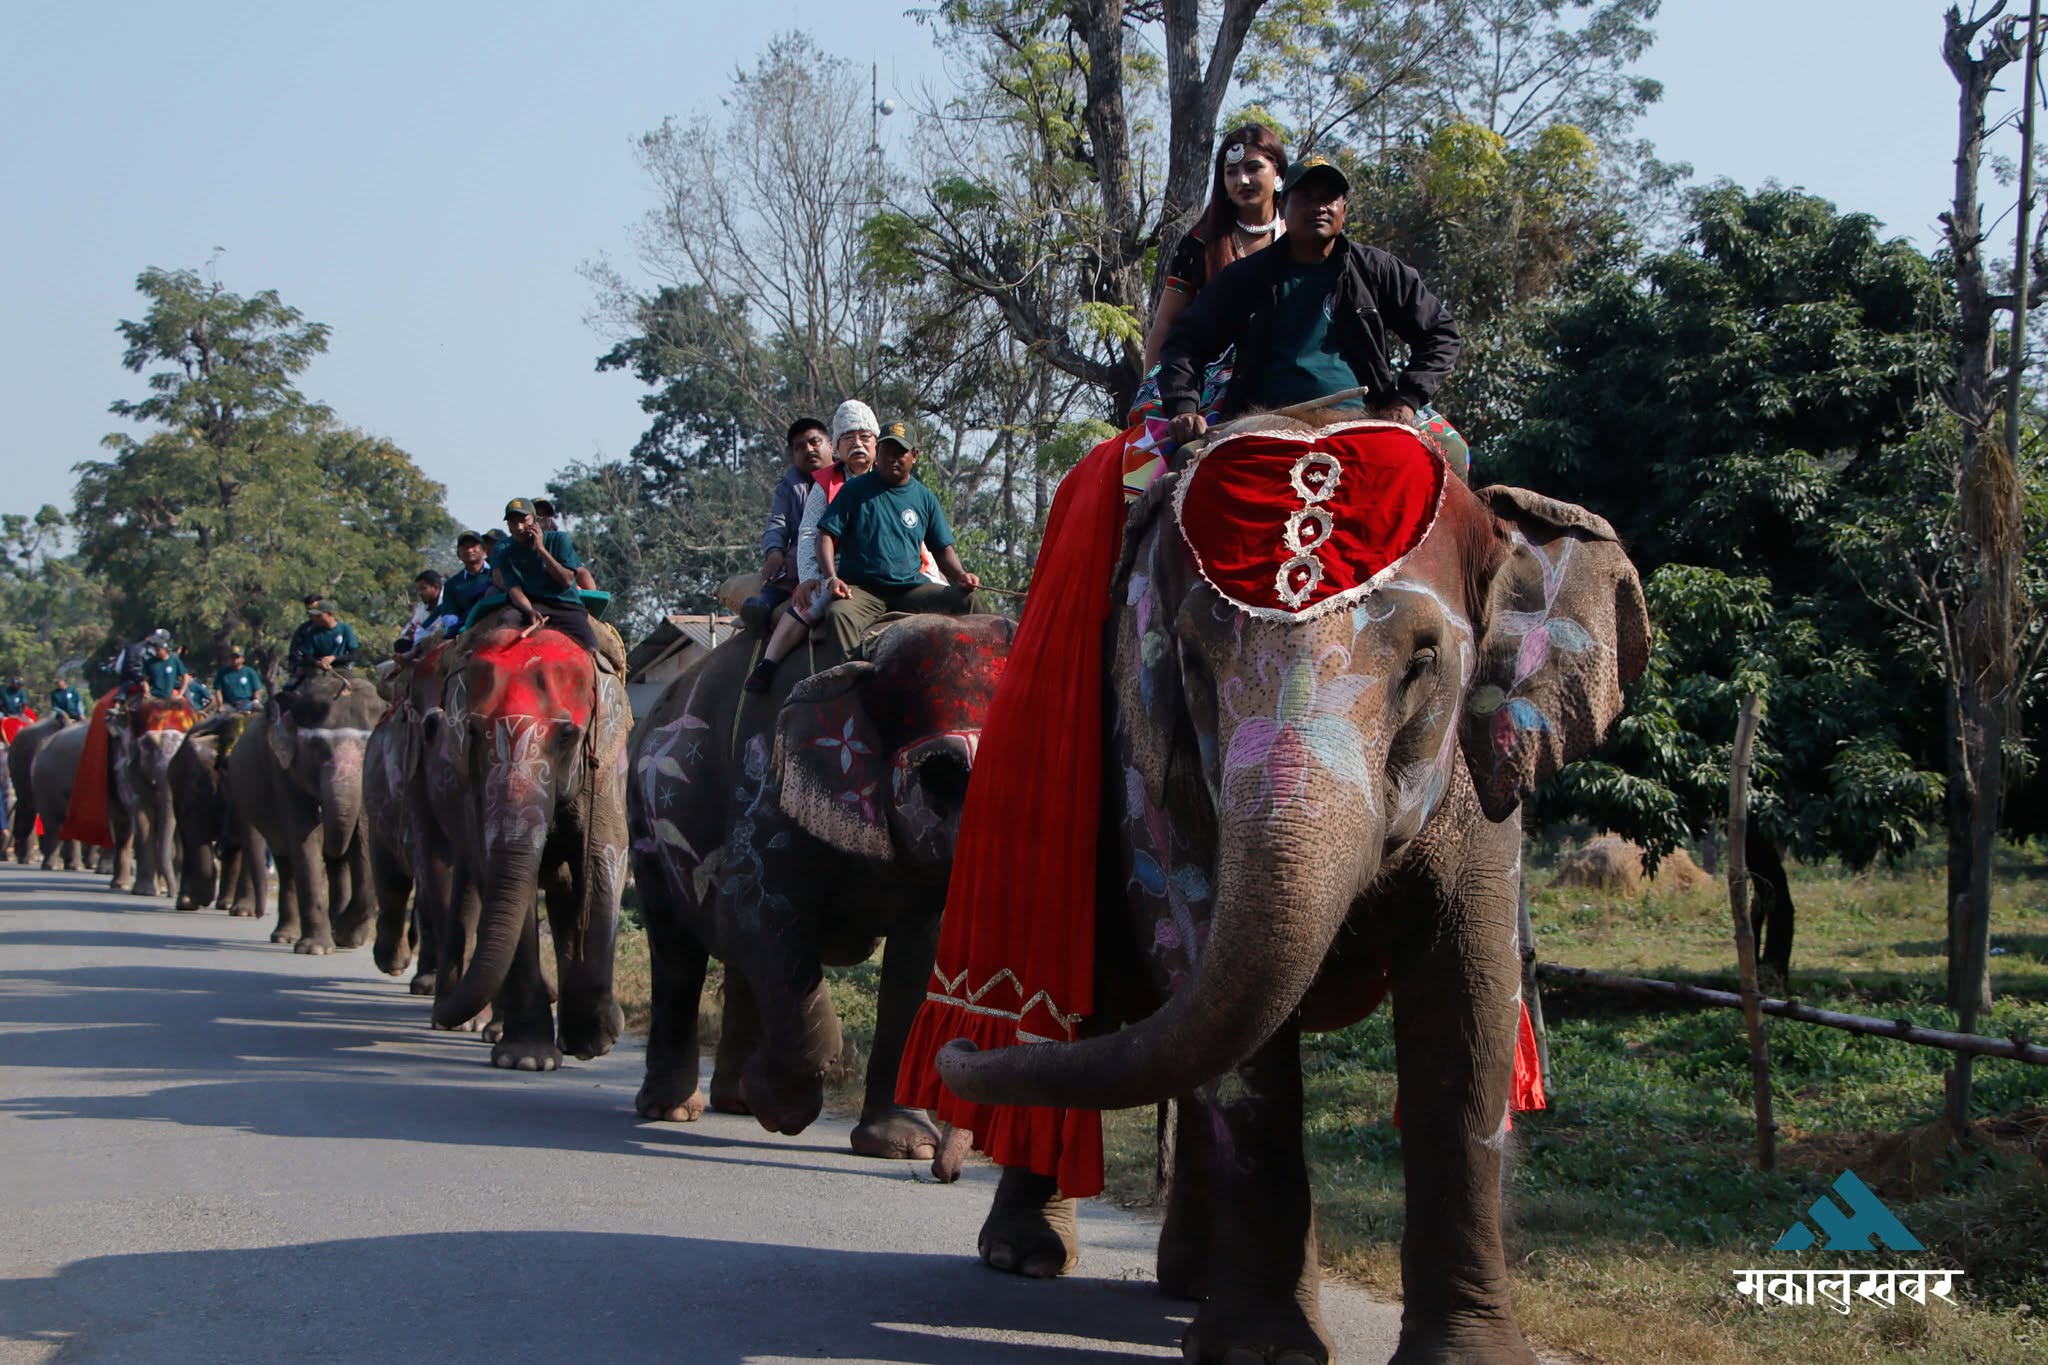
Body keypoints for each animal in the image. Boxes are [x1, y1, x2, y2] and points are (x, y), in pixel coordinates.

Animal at [168, 713, 263, 915]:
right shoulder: (196, 776)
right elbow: (196, 829)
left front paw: (243, 912)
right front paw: (199, 898)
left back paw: (226, 904)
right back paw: (187, 902)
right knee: (187, 841)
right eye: (227, 765)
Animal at [226, 673, 385, 953]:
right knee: (286, 860)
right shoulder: (283, 770)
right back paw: (286, 936)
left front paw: (346, 936)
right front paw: (317, 948)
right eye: (318, 748)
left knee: (334, 863)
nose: (257, 914)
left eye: (369, 750)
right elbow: (305, 837)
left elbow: (364, 842)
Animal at [425, 619, 632, 1072]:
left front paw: (597, 1037)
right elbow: (500, 874)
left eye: (568, 736)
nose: (432, 722)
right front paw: (528, 1061)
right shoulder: (474, 789)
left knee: (566, 887)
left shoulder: (606, 770)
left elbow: (601, 861)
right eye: (472, 732)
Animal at [628, 612, 1014, 1156]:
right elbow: (753, 912)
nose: (946, 1167)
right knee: (678, 947)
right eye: (943, 773)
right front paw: (782, 1111)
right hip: (645, 816)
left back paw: (737, 1102)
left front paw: (905, 1146)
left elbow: (923, 952)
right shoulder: (770, 780)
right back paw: (676, 1110)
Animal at [929, 416, 1649, 1365]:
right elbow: (1215, 978)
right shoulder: (1150, 761)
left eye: (1424, 660)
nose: (952, 1054)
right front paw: (1261, 1352)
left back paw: (1187, 1281)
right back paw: (1028, 1256)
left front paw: (1470, 1358)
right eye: (1192, 664)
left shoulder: (1482, 795)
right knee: (1097, 1014)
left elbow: (1470, 1008)